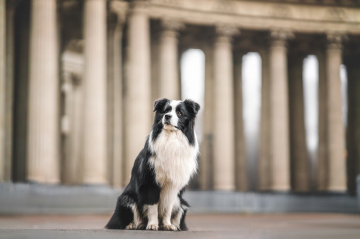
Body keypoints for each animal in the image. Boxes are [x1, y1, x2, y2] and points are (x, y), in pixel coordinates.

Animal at [105, 98, 200, 231]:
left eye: (180, 113)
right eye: (165, 111)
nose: (167, 116)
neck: (170, 137)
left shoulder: (172, 185)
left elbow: (167, 207)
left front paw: (167, 225)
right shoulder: (150, 181)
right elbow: (153, 206)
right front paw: (153, 225)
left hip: (182, 204)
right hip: (126, 199)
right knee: (122, 220)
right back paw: (133, 225)